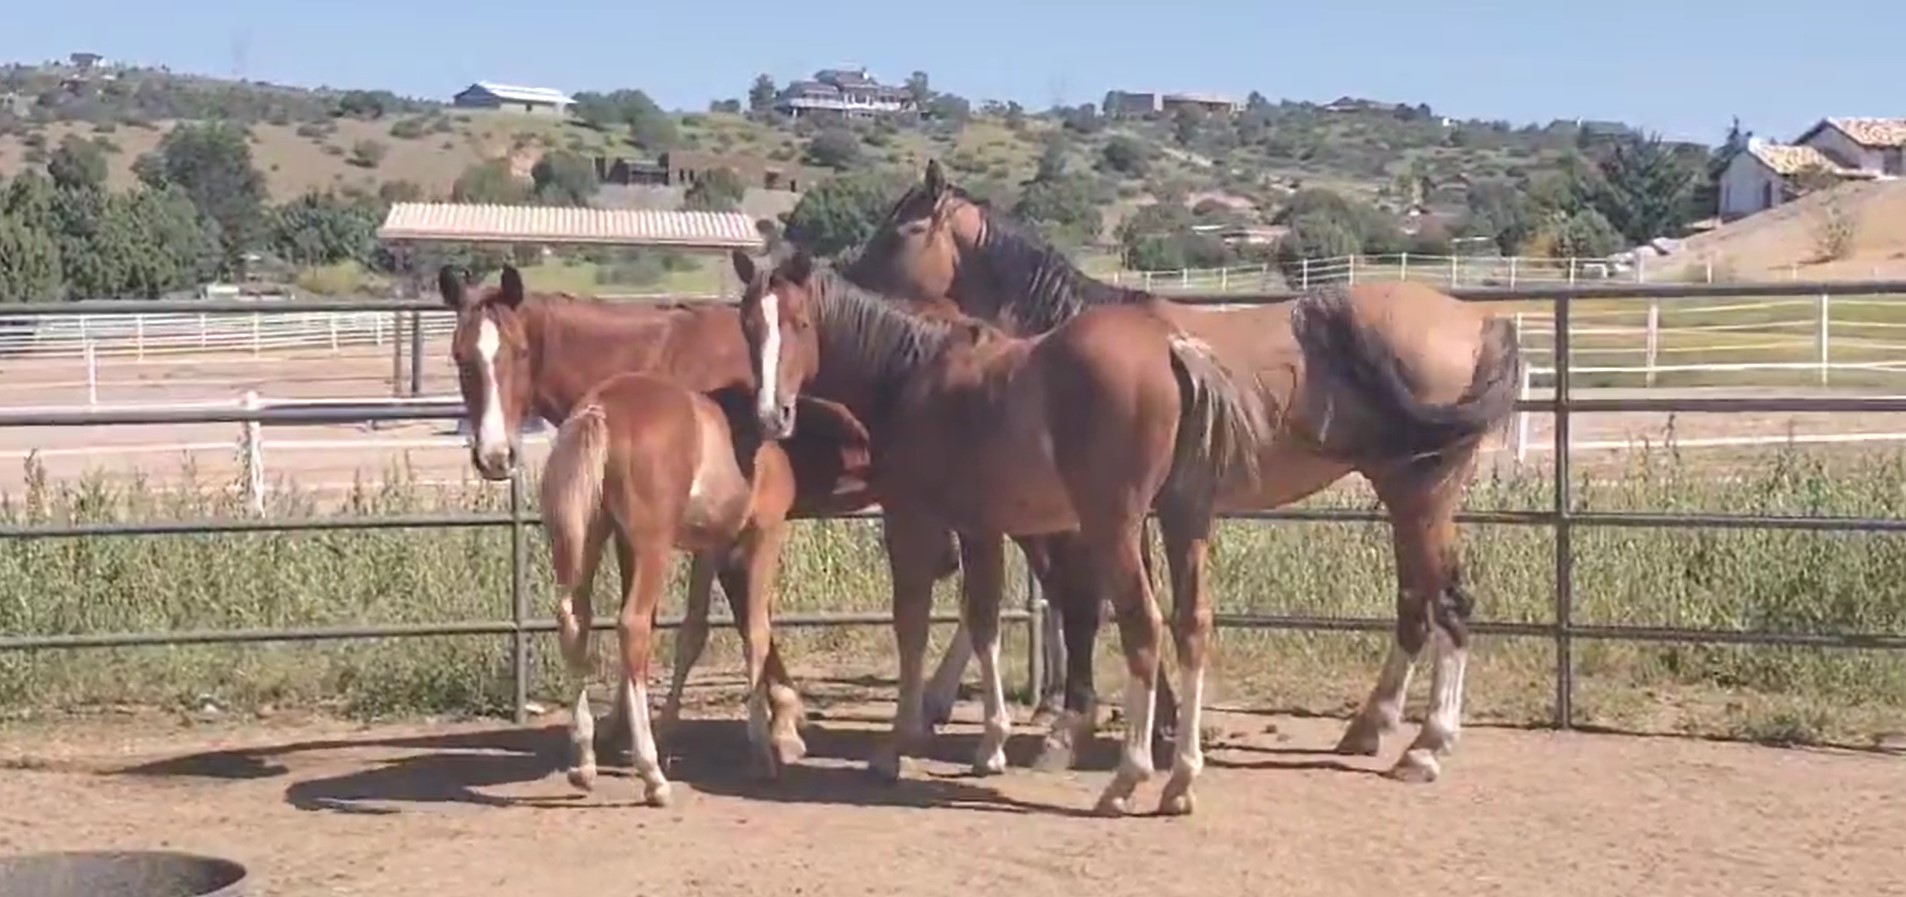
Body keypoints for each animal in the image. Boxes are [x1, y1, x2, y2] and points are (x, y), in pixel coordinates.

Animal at [538, 368, 804, 804]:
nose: (779, 414)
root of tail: (601, 408)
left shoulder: (710, 547)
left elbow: (694, 631)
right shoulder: (765, 533)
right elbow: (756, 632)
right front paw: (764, 751)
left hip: (590, 538)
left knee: (575, 622)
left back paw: (586, 764)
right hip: (652, 547)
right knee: (633, 625)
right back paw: (653, 778)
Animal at [731, 248, 1268, 816]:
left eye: (799, 323)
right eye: (747, 325)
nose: (772, 416)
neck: (911, 375)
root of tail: (1169, 348)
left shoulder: (912, 520)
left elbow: (912, 624)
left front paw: (895, 749)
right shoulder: (980, 529)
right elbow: (984, 621)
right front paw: (991, 745)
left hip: (1115, 526)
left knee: (1143, 625)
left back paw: (1127, 777)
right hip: (1184, 519)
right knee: (1193, 624)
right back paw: (1180, 780)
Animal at [842, 159, 1524, 784]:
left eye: (902, 228)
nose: (846, 278)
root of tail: (1479, 322)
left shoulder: (1082, 523)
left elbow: (1090, 608)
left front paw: (1073, 730)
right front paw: (1157, 725)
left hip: (1423, 493)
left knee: (1449, 603)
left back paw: (1426, 747)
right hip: (1407, 499)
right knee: (1416, 603)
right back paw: (1369, 728)